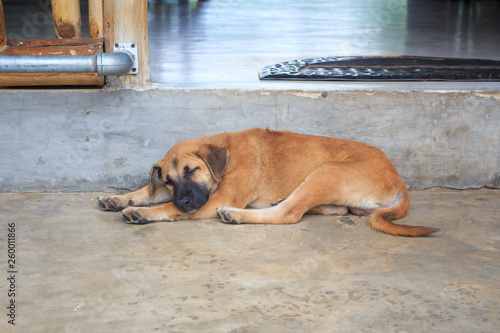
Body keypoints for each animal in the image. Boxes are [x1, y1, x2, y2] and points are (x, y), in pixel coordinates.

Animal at [96, 127, 438, 236]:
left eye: (192, 171)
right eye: (167, 181)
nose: (184, 200)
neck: (228, 155)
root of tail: (400, 183)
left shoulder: (216, 198)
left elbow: (167, 209)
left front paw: (142, 213)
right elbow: (147, 190)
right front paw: (118, 198)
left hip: (325, 172)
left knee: (289, 214)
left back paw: (237, 215)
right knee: (327, 209)